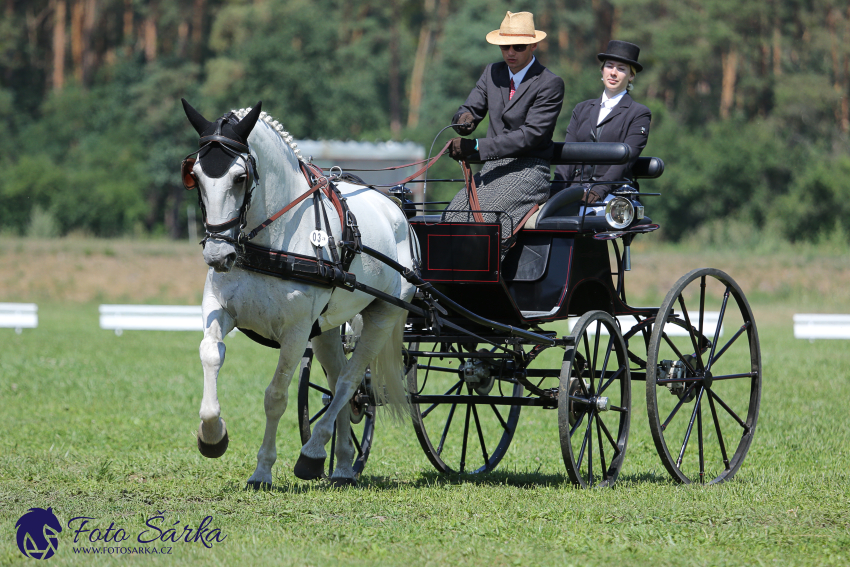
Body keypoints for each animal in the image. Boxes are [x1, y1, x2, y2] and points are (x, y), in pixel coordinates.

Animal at [181, 101, 416, 488]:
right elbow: (211, 355)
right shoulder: (219, 308)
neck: (269, 240)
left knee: (349, 383)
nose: (217, 255)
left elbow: (275, 395)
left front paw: (262, 470)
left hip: (384, 316)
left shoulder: (295, 331)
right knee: (338, 383)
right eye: (195, 176)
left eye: (240, 177)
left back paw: (313, 453)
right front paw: (212, 435)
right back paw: (342, 464)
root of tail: (398, 212)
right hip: (327, 330)